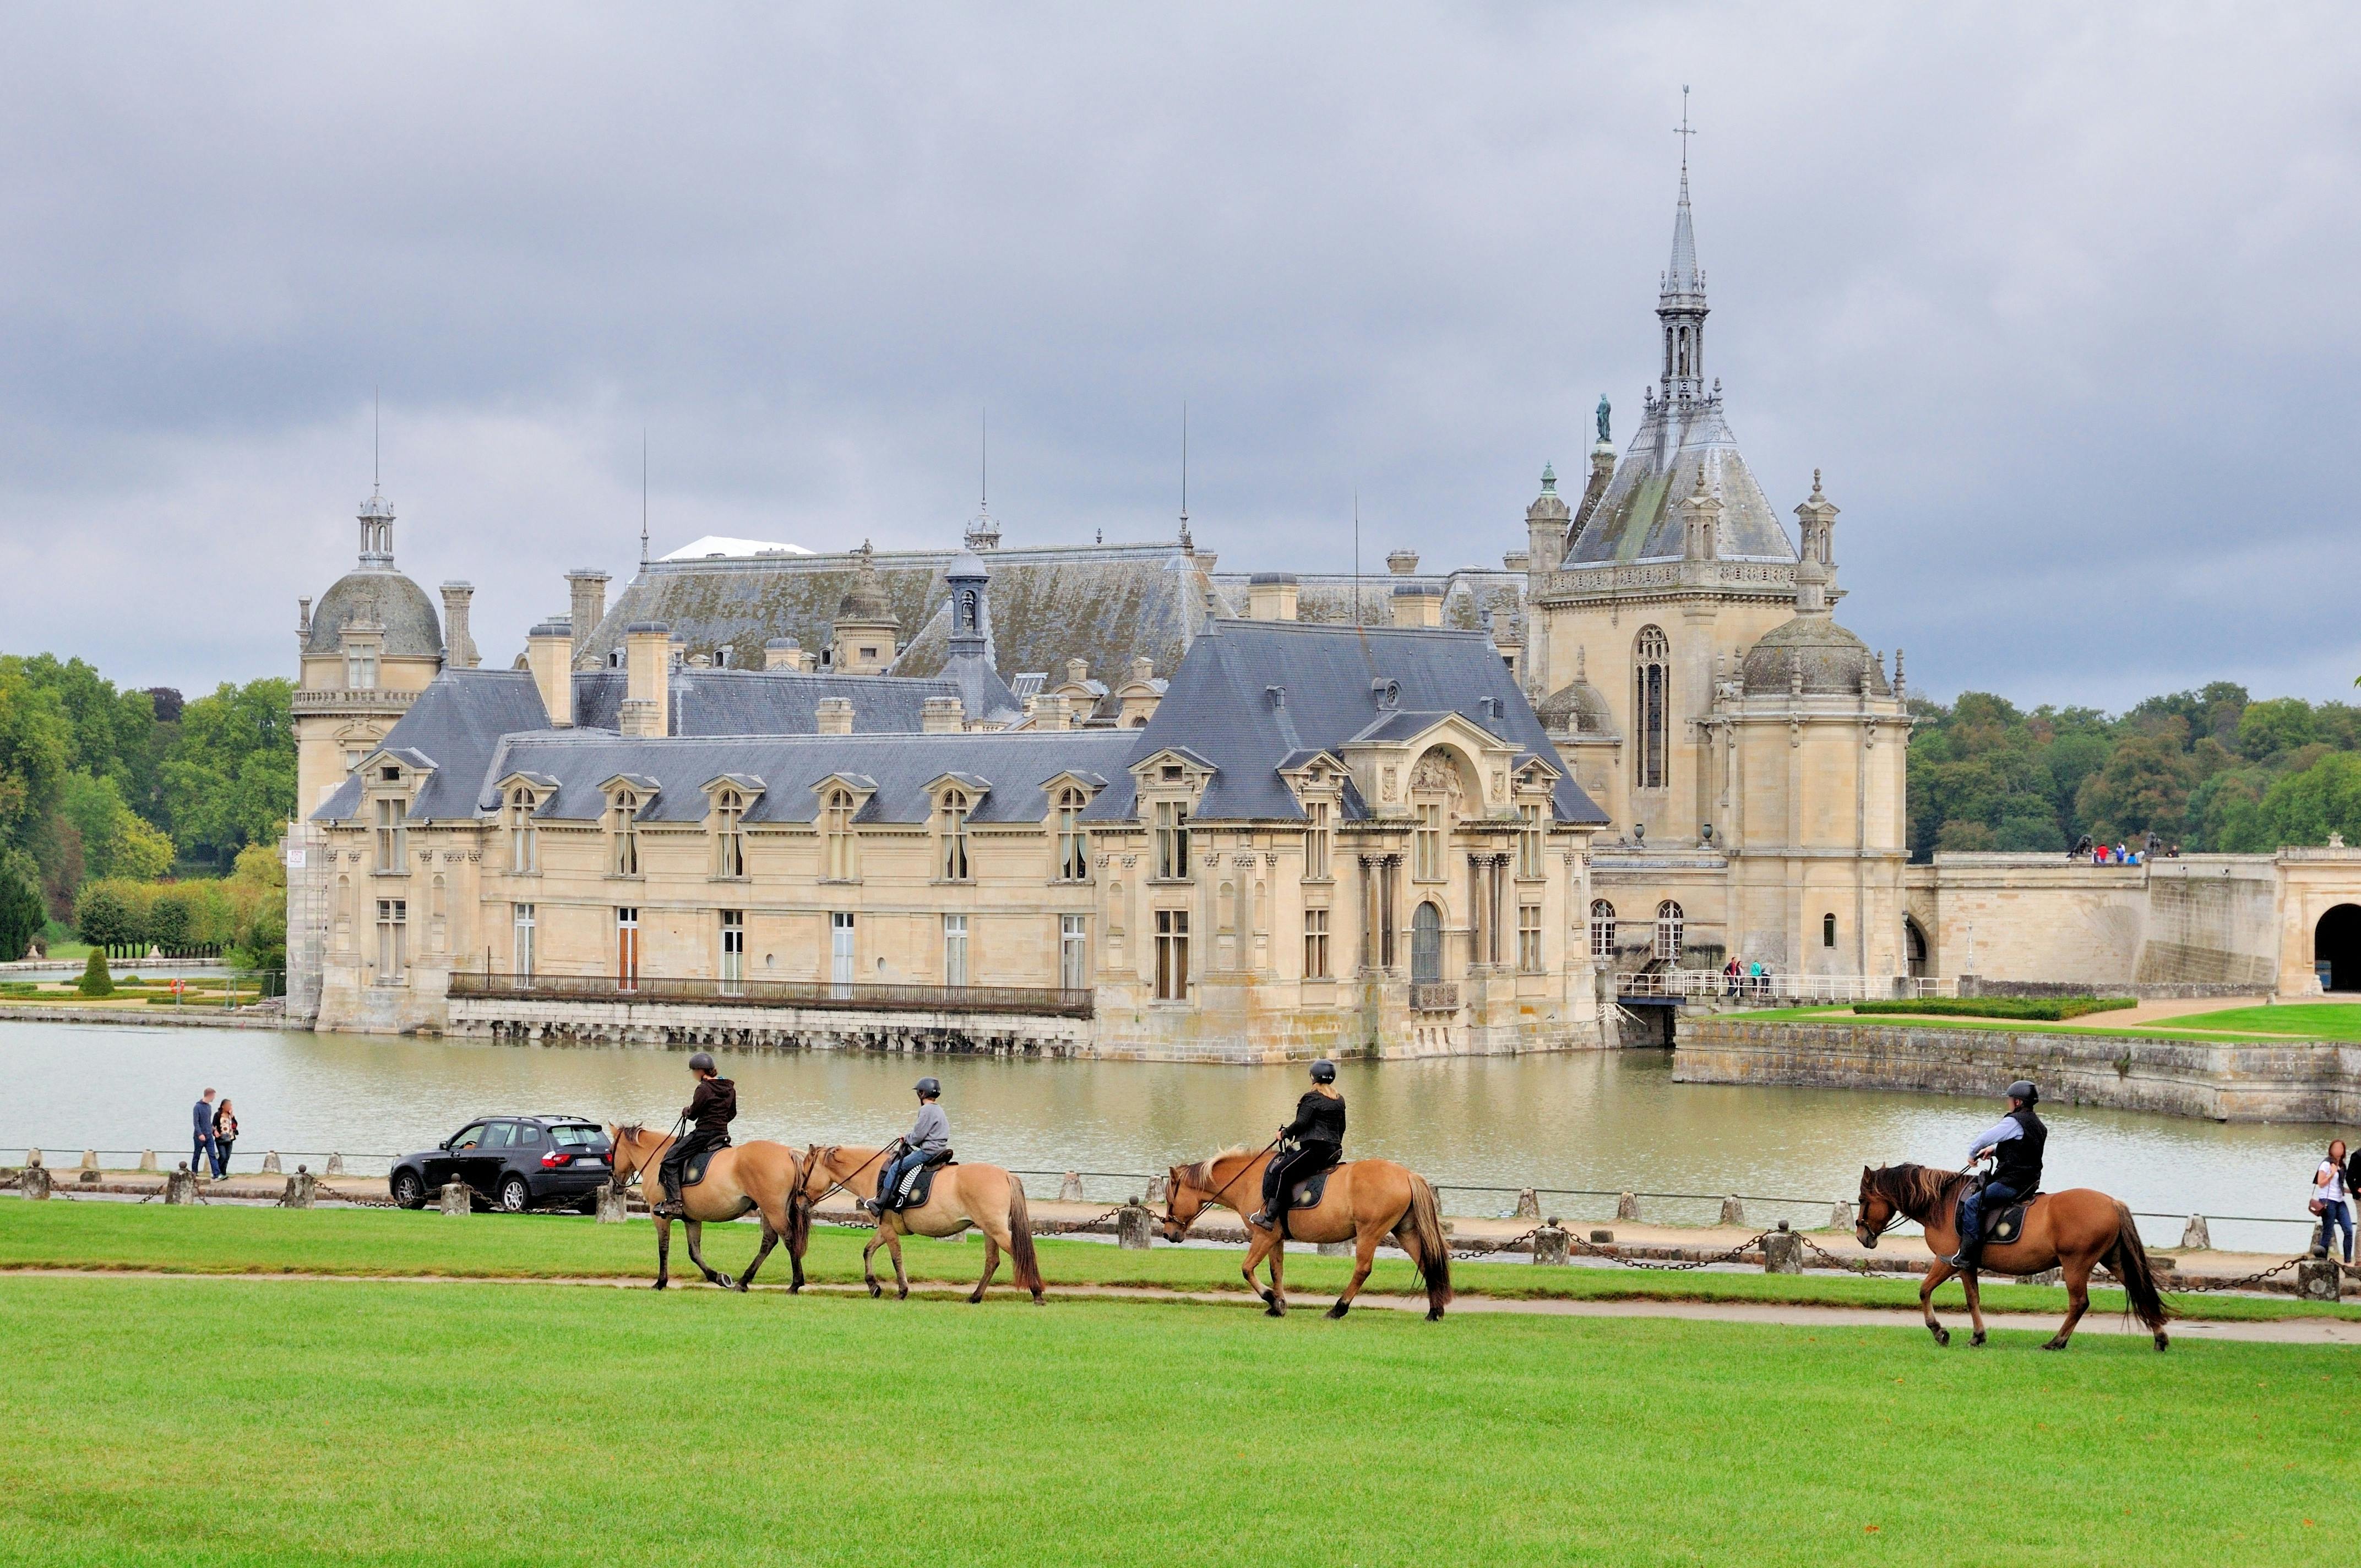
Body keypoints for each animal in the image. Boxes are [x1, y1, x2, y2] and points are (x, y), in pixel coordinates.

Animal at [604, 1133, 817, 1294]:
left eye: (611, 1152)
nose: (614, 1183)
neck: (656, 1157)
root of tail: (788, 1152)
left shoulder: (659, 1216)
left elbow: (663, 1248)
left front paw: (661, 1282)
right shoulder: (692, 1220)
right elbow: (694, 1253)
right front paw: (719, 1277)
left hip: (774, 1211)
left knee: (788, 1239)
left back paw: (795, 1284)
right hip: (769, 1211)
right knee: (769, 1242)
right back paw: (743, 1282)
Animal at [802, 1147, 1043, 1303]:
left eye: (805, 1173)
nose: (799, 1198)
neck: (874, 1173)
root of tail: (1005, 1175)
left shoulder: (887, 1229)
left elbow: (896, 1258)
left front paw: (902, 1291)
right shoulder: (885, 1228)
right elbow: (868, 1251)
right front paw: (873, 1286)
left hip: (996, 1230)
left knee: (1020, 1254)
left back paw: (1037, 1293)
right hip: (989, 1230)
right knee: (992, 1262)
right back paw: (976, 1297)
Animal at [1161, 1147, 1454, 1313]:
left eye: (1169, 1198)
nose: (1168, 1234)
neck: (1248, 1180)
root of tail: (1407, 1175)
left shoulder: (1264, 1235)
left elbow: (1246, 1269)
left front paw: (1271, 1299)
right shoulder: (1275, 1238)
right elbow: (1276, 1271)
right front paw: (1278, 1305)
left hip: (1370, 1232)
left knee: (1362, 1270)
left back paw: (1339, 1309)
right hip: (1405, 1231)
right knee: (1427, 1263)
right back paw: (1434, 1311)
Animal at [1851, 1157, 2162, 1351]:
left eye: (1862, 1199)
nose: (1862, 1236)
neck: (1943, 1202)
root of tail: (2112, 1203)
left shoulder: (1949, 1261)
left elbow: (1925, 1290)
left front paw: (1939, 1330)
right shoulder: (1967, 1265)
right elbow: (1973, 1299)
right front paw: (1978, 1336)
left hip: (2076, 1265)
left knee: (2079, 1304)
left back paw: (2057, 1342)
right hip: (2114, 1260)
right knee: (2140, 1290)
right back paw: (2160, 1337)